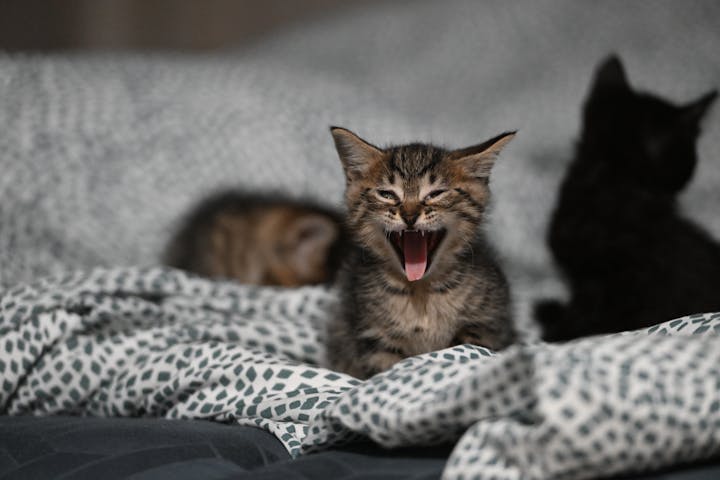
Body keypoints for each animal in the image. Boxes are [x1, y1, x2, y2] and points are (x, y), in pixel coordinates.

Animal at [326, 126, 516, 378]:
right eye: (387, 194)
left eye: (435, 194)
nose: (409, 215)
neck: (421, 292)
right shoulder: (373, 334)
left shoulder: (488, 322)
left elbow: (468, 348)